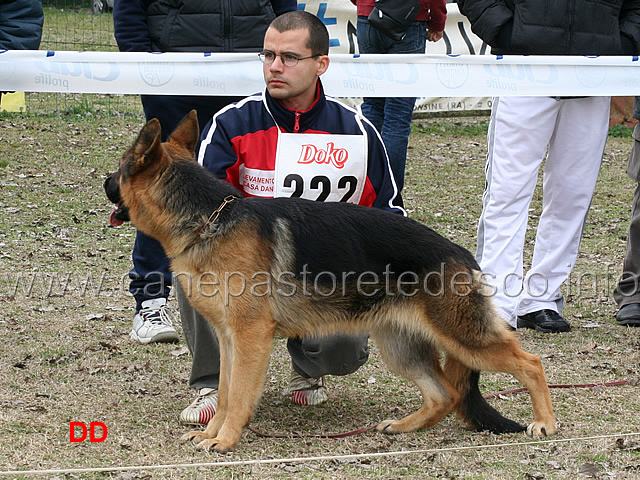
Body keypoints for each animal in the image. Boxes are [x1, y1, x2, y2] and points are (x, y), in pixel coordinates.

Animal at [105, 110, 556, 452]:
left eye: (121, 169)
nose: (104, 182)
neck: (208, 221)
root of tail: (462, 254)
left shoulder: (250, 339)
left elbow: (239, 397)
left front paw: (226, 439)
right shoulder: (231, 340)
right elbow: (227, 390)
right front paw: (212, 433)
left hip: (464, 338)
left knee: (529, 364)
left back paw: (545, 423)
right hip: (400, 347)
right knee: (445, 394)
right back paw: (404, 426)